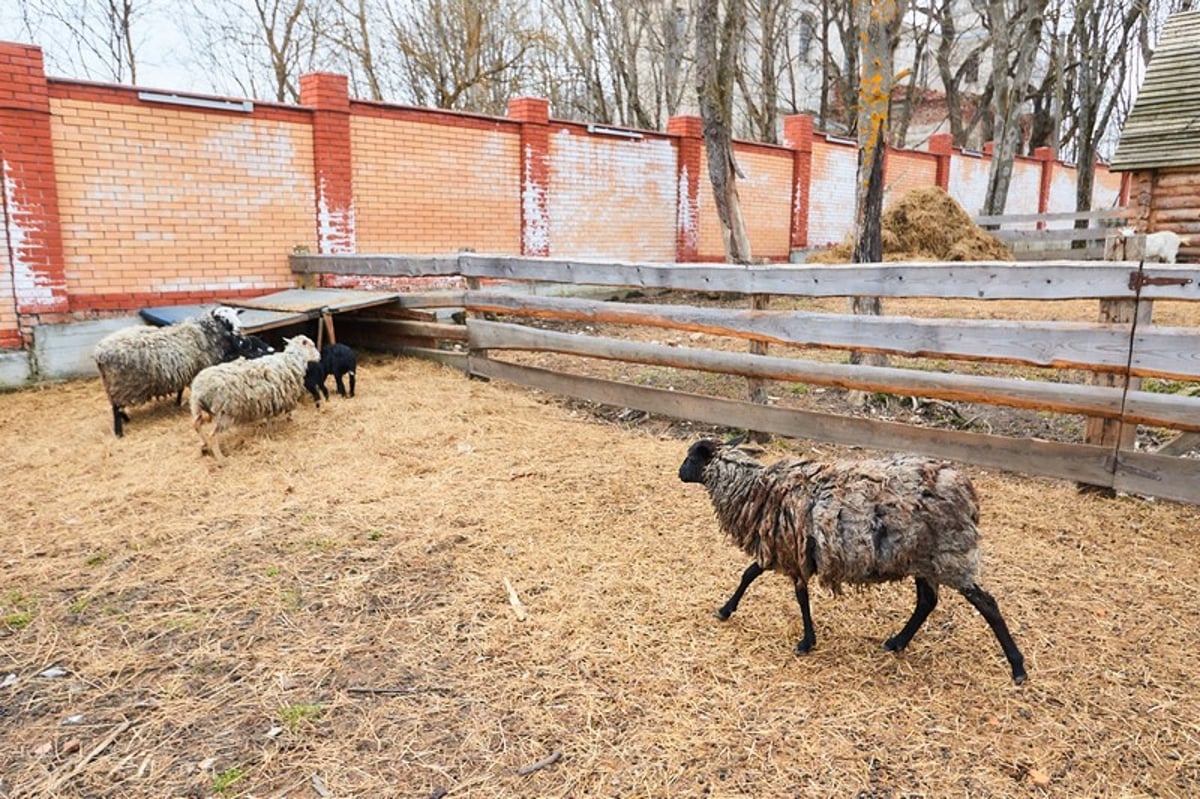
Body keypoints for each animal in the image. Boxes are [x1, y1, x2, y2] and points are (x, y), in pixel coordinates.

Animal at [94, 305, 244, 436]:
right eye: (223, 318)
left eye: (236, 315)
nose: (239, 329)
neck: (204, 333)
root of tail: (99, 353)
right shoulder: (196, 369)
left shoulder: (183, 370)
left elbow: (180, 389)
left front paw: (177, 402)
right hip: (120, 385)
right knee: (115, 408)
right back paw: (119, 432)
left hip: (112, 385)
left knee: (115, 405)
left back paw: (126, 419)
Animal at [188, 333, 321, 460]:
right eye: (312, 345)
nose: (319, 357)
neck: (293, 359)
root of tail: (199, 389)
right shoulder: (285, 395)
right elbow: (290, 410)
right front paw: (290, 419)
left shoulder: (269, 399)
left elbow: (268, 417)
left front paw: (268, 429)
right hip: (224, 413)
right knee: (212, 435)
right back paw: (221, 459)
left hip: (198, 408)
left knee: (196, 425)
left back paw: (205, 446)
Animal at [681, 439, 1027, 681]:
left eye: (690, 457)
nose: (679, 473)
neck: (755, 489)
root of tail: (966, 491)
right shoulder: (786, 550)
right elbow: (753, 575)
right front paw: (728, 609)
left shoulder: (788, 549)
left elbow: (788, 592)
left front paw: (805, 641)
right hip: (921, 557)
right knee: (927, 602)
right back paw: (897, 642)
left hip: (949, 554)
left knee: (987, 604)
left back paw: (1018, 668)